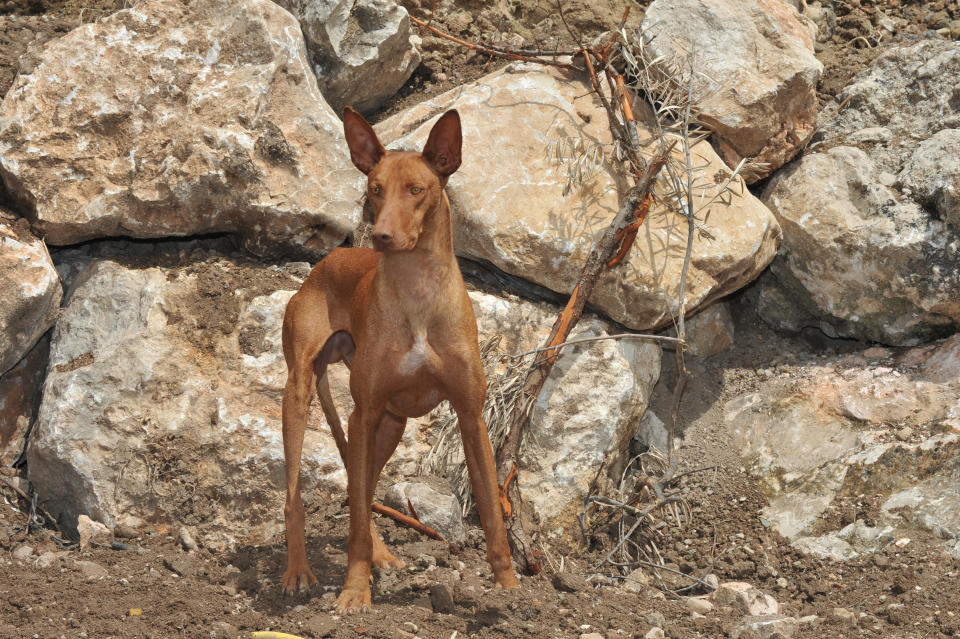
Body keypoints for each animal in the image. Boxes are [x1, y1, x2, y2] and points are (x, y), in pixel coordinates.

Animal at [280, 106, 516, 616]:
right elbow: (351, 520)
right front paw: (354, 592)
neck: (418, 291)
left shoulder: (471, 416)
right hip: (303, 395)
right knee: (299, 496)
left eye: (416, 189)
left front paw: (510, 590)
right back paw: (298, 571)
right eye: (375, 188)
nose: (383, 236)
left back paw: (382, 554)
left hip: (389, 425)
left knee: (361, 490)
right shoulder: (364, 412)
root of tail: (326, 262)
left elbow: (491, 510)